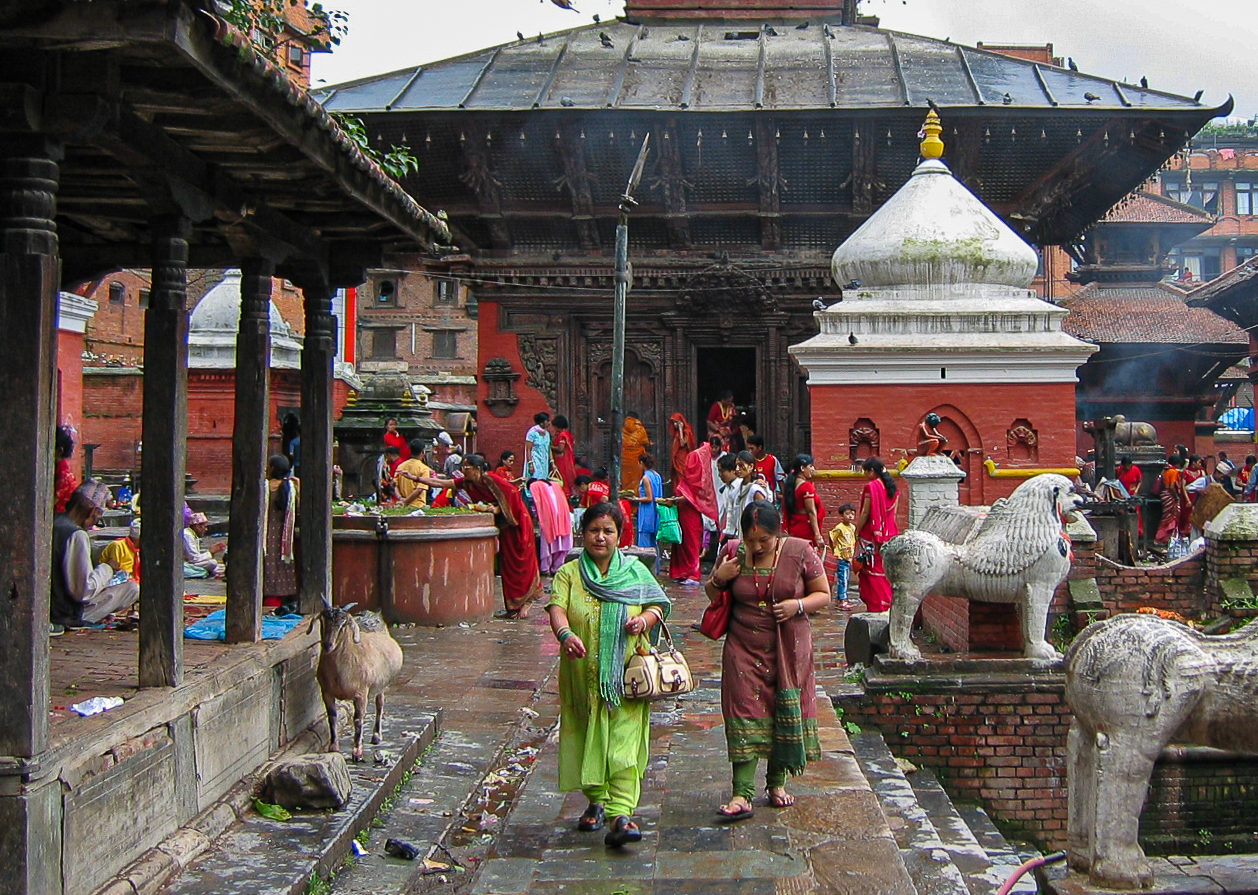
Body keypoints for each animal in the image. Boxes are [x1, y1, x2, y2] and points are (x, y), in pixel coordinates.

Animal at [309, 606, 402, 760]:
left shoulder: (361, 693)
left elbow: (358, 720)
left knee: (379, 704)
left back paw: (376, 736)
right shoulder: (326, 692)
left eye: (343, 624)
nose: (328, 645)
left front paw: (357, 752)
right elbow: (332, 717)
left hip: (381, 685)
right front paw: (333, 747)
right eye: (322, 620)